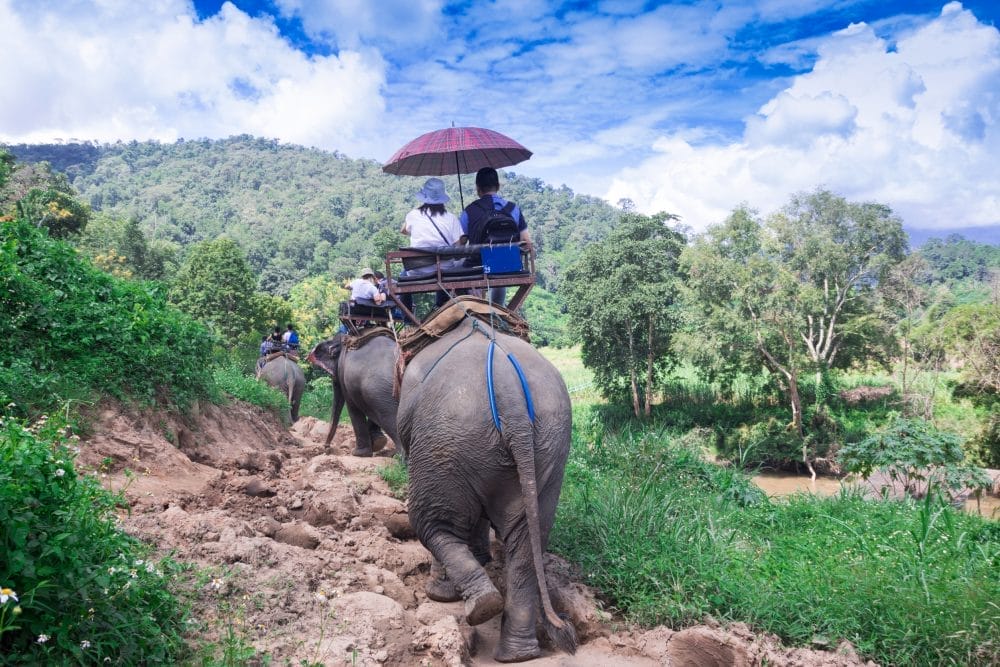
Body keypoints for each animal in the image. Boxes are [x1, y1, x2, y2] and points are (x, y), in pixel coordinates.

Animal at [397, 321, 576, 662]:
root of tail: (510, 395)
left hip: (444, 442)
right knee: (527, 543)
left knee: (432, 523)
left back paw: (478, 606)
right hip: (549, 447)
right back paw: (517, 654)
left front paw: (443, 593)